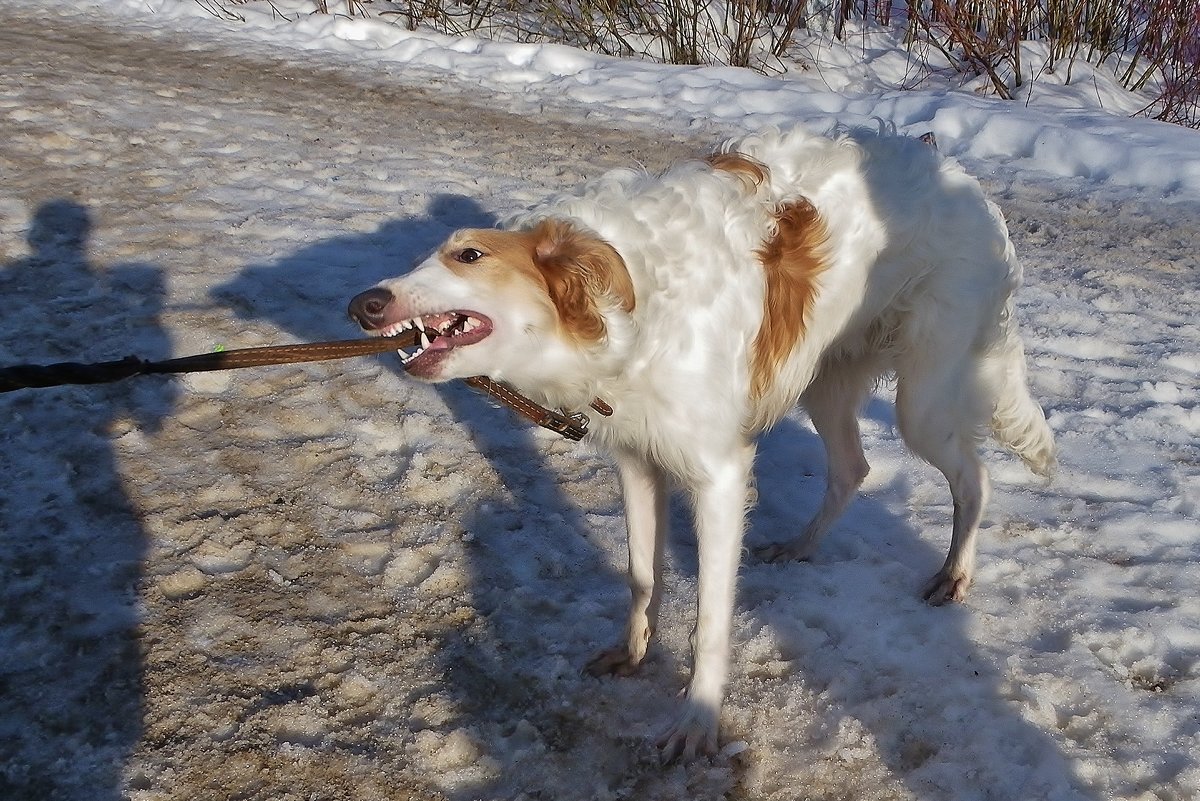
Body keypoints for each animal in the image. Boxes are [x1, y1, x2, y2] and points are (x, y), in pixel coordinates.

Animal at [345, 125, 1051, 757]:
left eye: (469, 256)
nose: (362, 305)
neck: (626, 312)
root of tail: (957, 176)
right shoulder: (636, 459)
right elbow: (641, 574)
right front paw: (633, 652)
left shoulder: (719, 477)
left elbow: (710, 619)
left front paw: (699, 720)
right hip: (826, 379)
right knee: (854, 468)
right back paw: (801, 546)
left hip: (922, 399)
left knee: (974, 477)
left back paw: (954, 574)